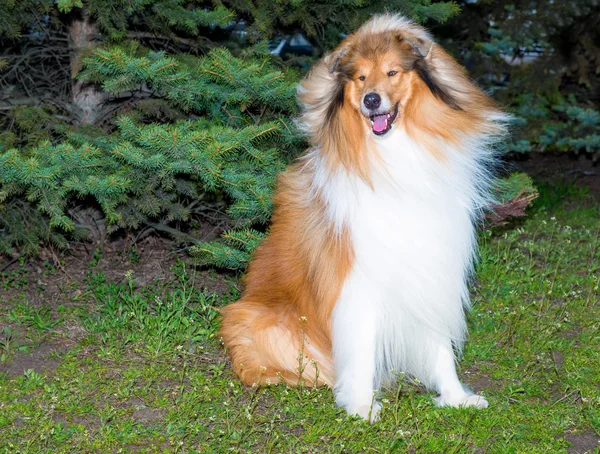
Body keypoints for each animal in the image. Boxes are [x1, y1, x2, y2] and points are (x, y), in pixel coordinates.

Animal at [220, 12, 506, 420]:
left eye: (392, 72)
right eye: (359, 78)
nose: (372, 100)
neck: (396, 158)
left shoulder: (431, 265)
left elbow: (438, 343)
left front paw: (455, 396)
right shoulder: (358, 279)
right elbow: (361, 346)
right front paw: (360, 404)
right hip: (259, 320)